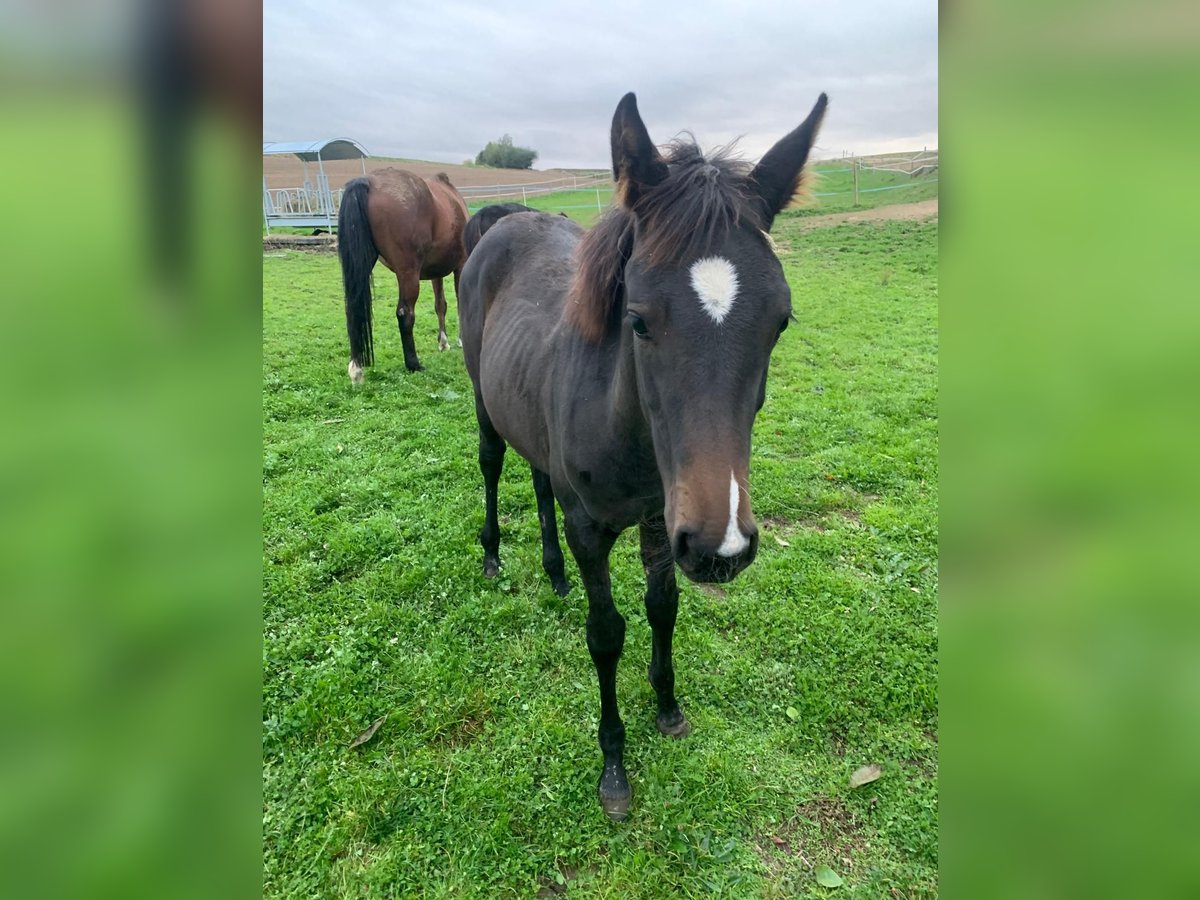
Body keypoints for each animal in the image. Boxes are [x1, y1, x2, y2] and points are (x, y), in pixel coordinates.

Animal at [340, 169, 470, 384]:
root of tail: (368, 181)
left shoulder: (436, 273)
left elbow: (440, 305)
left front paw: (443, 343)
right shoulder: (461, 265)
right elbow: (460, 303)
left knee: (353, 311)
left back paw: (356, 369)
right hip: (408, 272)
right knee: (405, 313)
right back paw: (413, 364)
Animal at [456, 93, 825, 825]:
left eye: (780, 321)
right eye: (638, 319)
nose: (722, 547)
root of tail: (505, 222)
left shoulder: (662, 517)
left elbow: (663, 606)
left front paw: (669, 708)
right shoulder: (593, 528)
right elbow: (606, 633)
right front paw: (614, 767)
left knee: (540, 478)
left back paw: (553, 573)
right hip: (484, 402)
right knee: (492, 463)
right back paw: (493, 555)